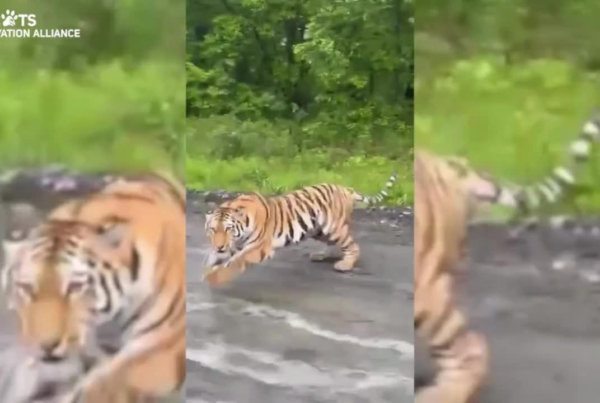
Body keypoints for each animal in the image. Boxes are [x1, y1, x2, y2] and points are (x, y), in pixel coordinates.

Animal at [203, 175, 398, 286]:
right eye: (212, 229)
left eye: (228, 229)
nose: (220, 246)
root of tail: (345, 189)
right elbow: (217, 259)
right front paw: (208, 268)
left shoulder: (258, 247)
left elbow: (234, 262)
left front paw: (214, 278)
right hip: (319, 230)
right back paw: (320, 255)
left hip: (333, 227)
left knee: (353, 246)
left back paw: (345, 265)